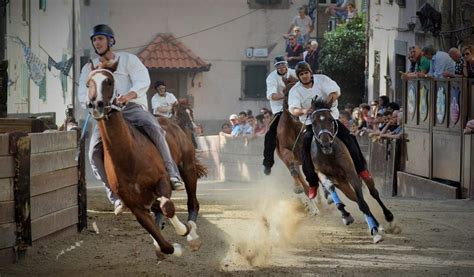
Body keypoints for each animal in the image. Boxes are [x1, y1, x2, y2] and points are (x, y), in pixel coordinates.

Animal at [310, 97, 384, 242]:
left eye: (330, 119)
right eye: (314, 122)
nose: (326, 144)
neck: (330, 155)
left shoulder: (351, 174)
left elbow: (363, 203)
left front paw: (375, 232)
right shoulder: (322, 173)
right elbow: (330, 187)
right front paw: (345, 215)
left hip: (361, 170)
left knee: (373, 193)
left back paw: (387, 219)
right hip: (343, 185)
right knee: (355, 198)